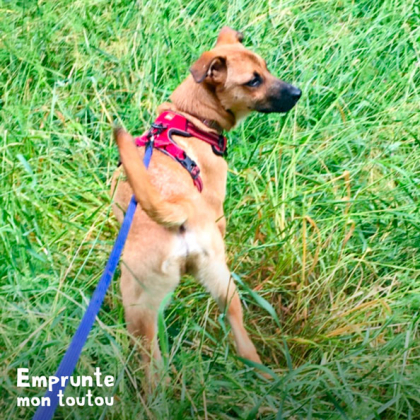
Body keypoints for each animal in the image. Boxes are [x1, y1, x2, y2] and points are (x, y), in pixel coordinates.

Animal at [113, 27, 300, 378]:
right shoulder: (218, 210)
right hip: (195, 288)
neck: (192, 117)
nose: (297, 92)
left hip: (166, 302)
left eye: (266, 68)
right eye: (253, 81)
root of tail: (178, 211)